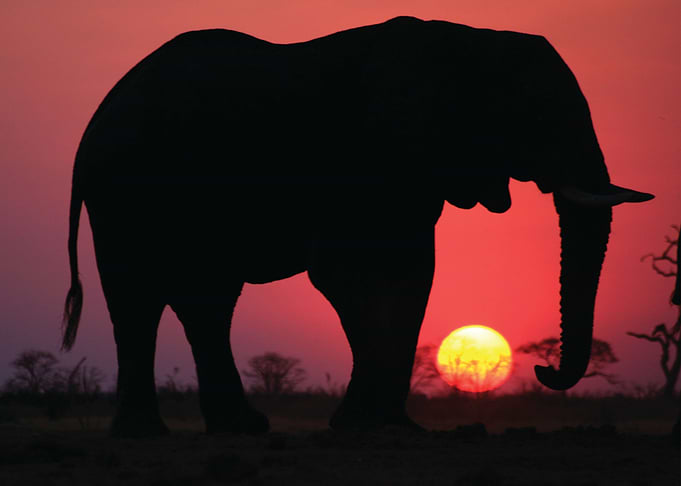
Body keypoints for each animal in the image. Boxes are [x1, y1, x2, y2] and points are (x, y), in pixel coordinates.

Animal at [62, 16, 653, 437]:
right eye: (536, 115)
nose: (544, 370)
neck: (468, 39)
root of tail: (93, 121)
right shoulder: (358, 159)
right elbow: (345, 276)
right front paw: (361, 423)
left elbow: (414, 273)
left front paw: (398, 427)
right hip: (123, 191)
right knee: (137, 297)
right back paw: (145, 434)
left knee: (207, 299)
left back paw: (240, 428)